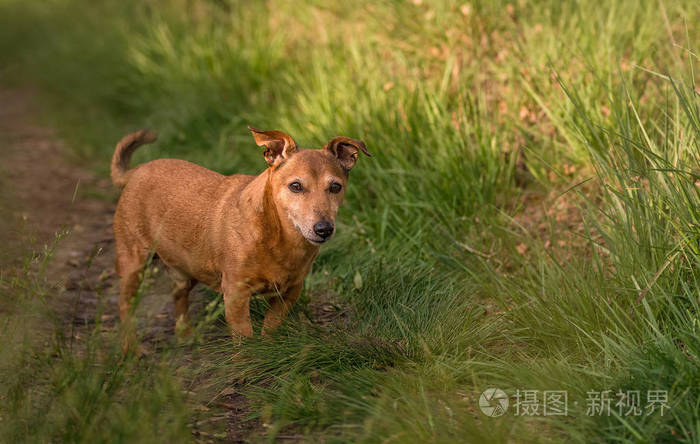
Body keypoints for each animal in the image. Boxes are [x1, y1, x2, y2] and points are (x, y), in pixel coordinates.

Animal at [110, 126, 366, 342]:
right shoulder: (235, 294)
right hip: (133, 262)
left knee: (178, 297)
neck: (279, 237)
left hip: (184, 269)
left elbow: (270, 329)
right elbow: (244, 340)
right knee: (124, 306)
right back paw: (131, 350)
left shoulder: (289, 293)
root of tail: (135, 172)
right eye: (296, 186)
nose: (324, 229)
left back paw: (186, 336)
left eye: (335, 187)